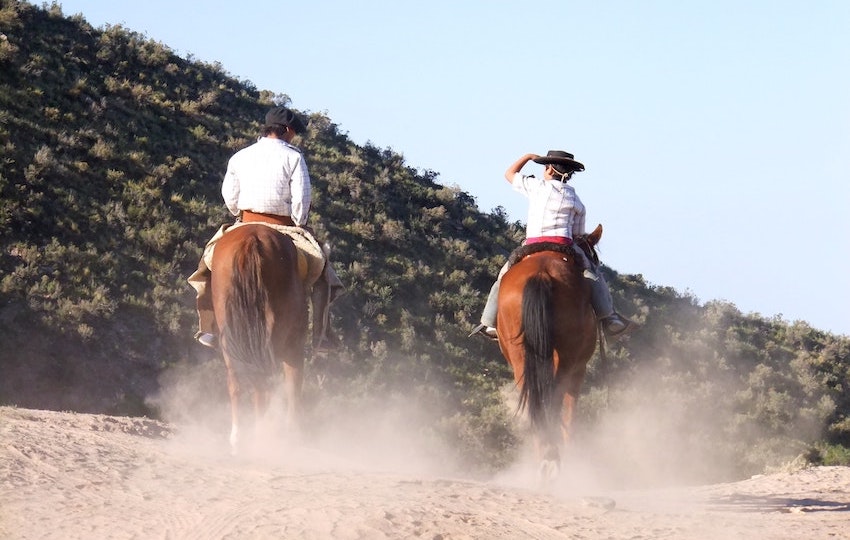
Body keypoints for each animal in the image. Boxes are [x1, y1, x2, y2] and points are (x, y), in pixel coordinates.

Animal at [211, 221, 310, 454]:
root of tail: (252, 239)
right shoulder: (294, 346)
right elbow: (293, 384)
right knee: (263, 380)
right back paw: (261, 436)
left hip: (231, 332)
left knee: (237, 381)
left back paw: (238, 439)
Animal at [494, 226, 600, 478]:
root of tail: (541, 273)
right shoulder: (579, 369)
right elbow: (570, 415)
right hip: (567, 358)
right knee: (553, 398)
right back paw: (551, 458)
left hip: (521, 356)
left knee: (535, 400)